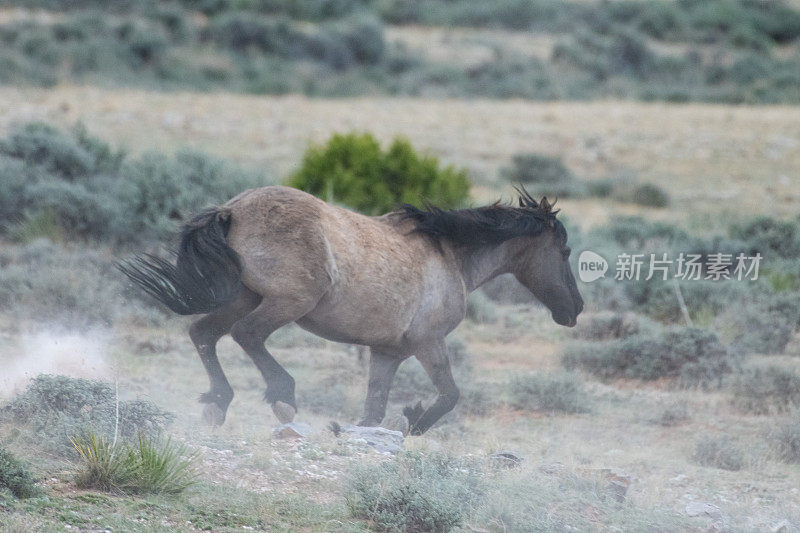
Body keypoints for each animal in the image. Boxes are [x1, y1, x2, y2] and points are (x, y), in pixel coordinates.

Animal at [120, 185, 580, 434]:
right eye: (565, 250)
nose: (574, 309)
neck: (450, 254)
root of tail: (231, 210)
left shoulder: (388, 353)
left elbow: (373, 408)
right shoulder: (428, 342)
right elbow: (450, 395)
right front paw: (413, 422)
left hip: (244, 296)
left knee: (203, 334)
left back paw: (218, 402)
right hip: (286, 302)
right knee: (247, 335)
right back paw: (282, 397)